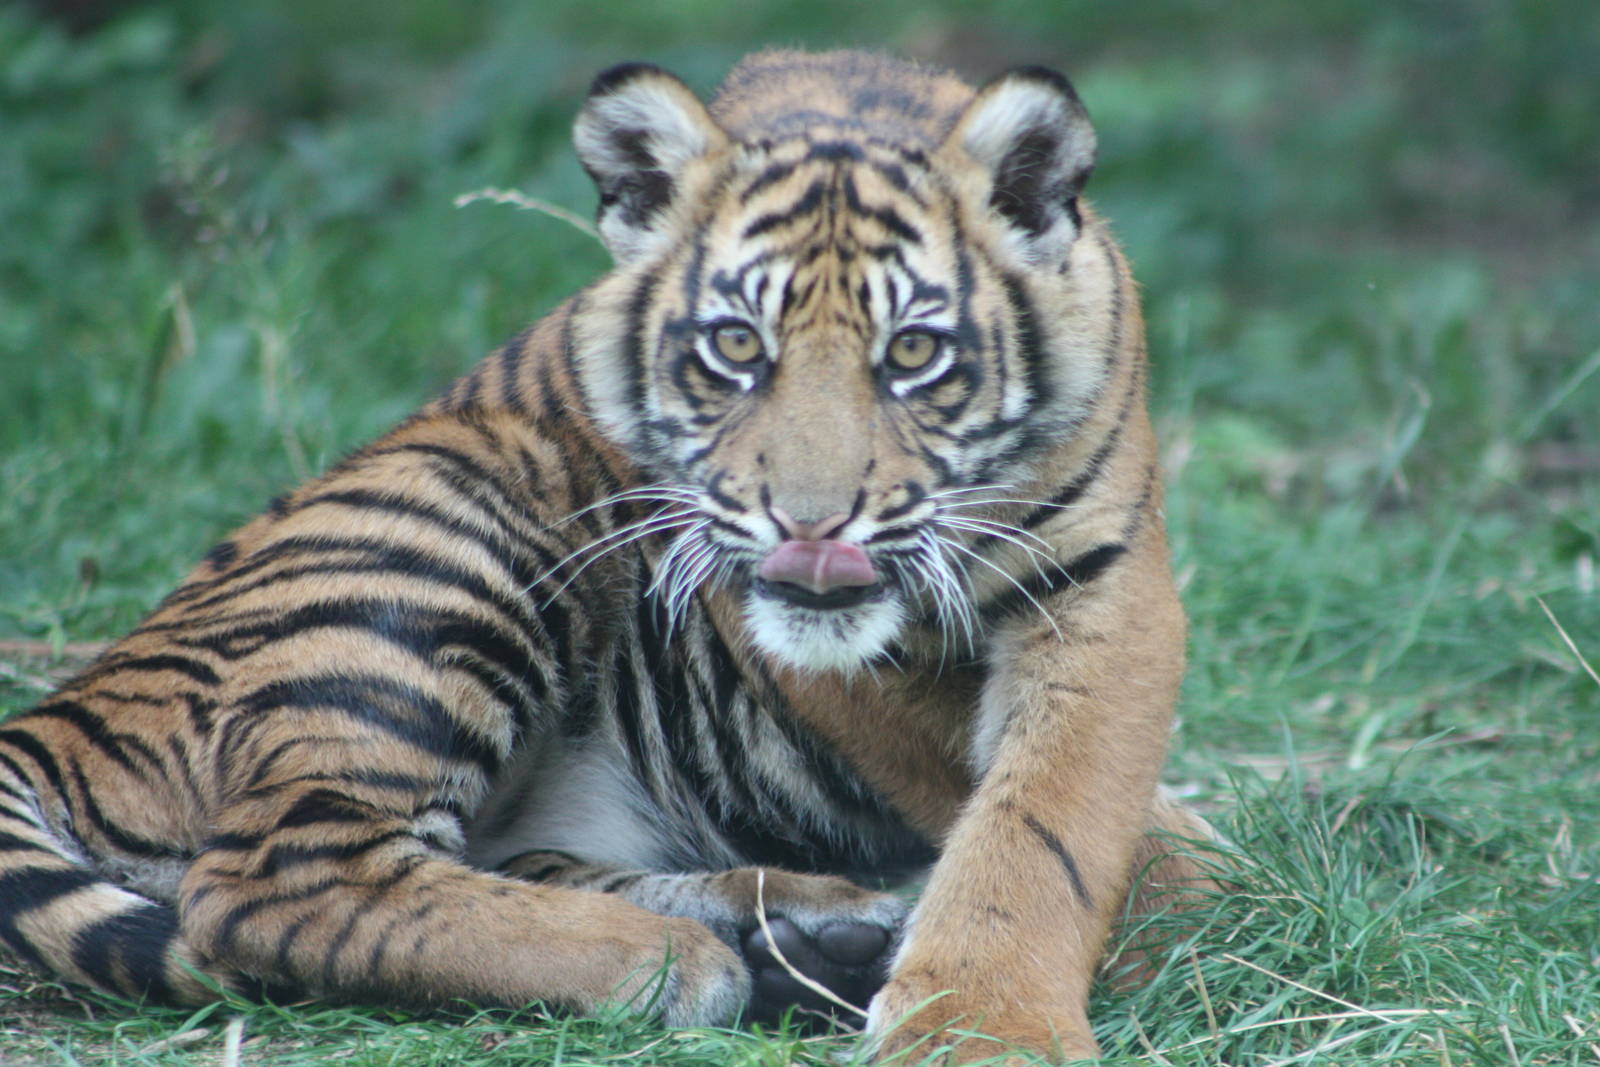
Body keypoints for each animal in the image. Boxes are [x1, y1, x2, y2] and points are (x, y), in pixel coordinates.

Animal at [0, 49, 1217, 1063]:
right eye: (735, 345)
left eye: (913, 352)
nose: (810, 524)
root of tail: (60, 706)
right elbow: (1019, 805)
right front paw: (1002, 1023)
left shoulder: (1104, 593)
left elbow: (1049, 814)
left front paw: (993, 1014)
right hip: (454, 537)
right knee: (275, 878)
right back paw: (675, 961)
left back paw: (814, 935)